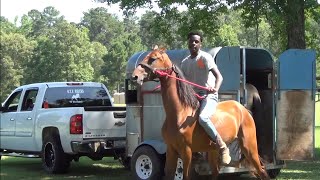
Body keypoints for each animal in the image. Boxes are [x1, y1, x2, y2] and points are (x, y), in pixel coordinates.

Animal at [131, 47, 268, 180]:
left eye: (153, 58)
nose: (135, 76)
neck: (179, 113)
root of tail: (243, 109)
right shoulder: (171, 150)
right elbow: (169, 174)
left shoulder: (186, 152)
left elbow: (186, 176)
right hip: (213, 151)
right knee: (215, 172)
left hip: (249, 147)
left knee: (262, 172)